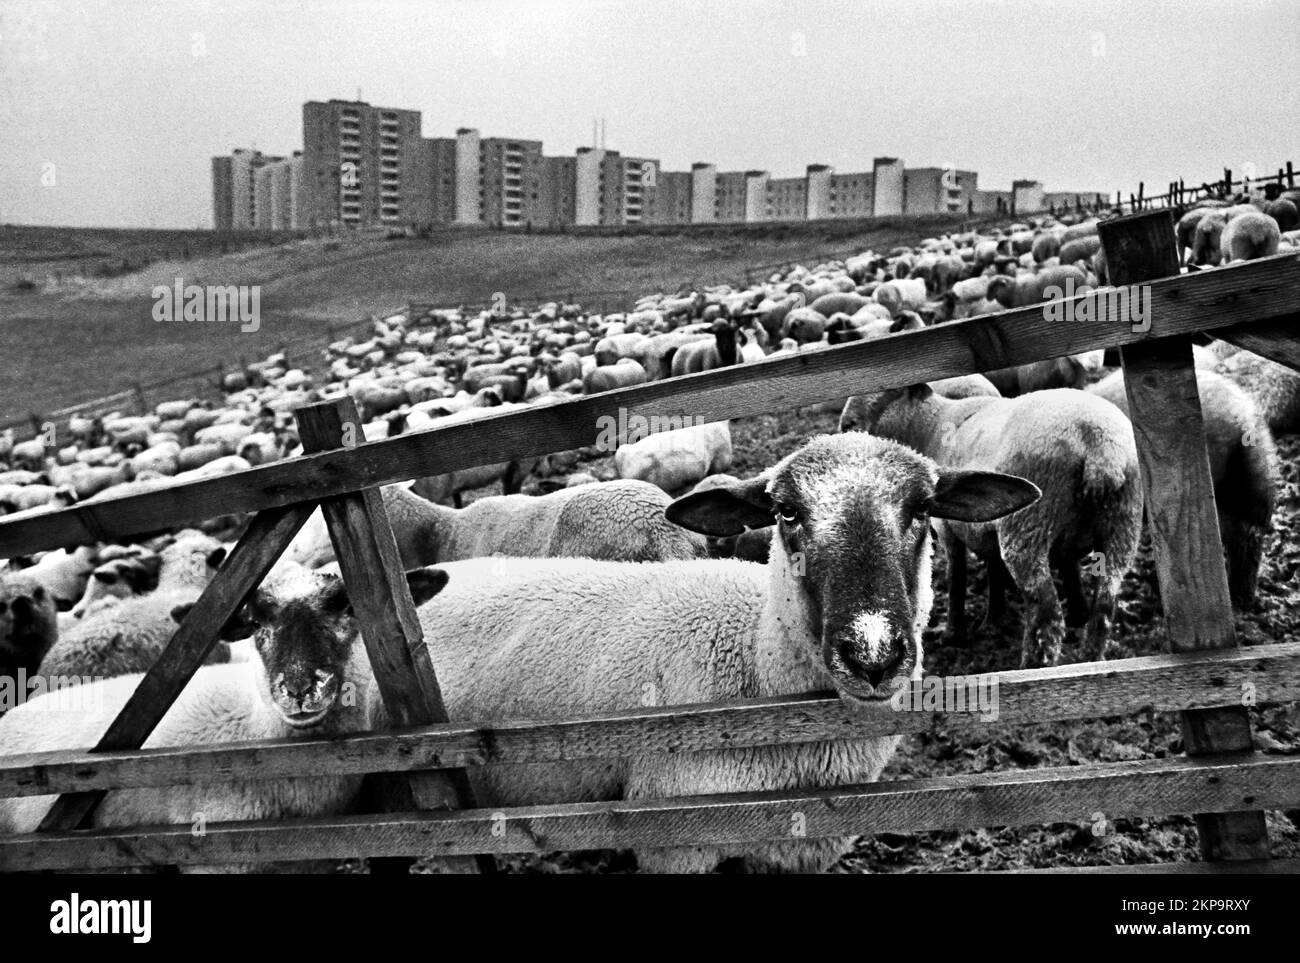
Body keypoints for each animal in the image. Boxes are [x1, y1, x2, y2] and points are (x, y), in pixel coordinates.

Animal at [842, 379, 1138, 665]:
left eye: (889, 389)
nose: (846, 424)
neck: (929, 427)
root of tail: (1098, 445)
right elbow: (1002, 568)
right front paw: (996, 619)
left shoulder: (946, 527)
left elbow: (956, 577)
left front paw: (953, 635)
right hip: (1123, 526)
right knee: (1105, 604)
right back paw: (1090, 659)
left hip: (1029, 525)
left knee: (1047, 612)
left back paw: (1032, 666)